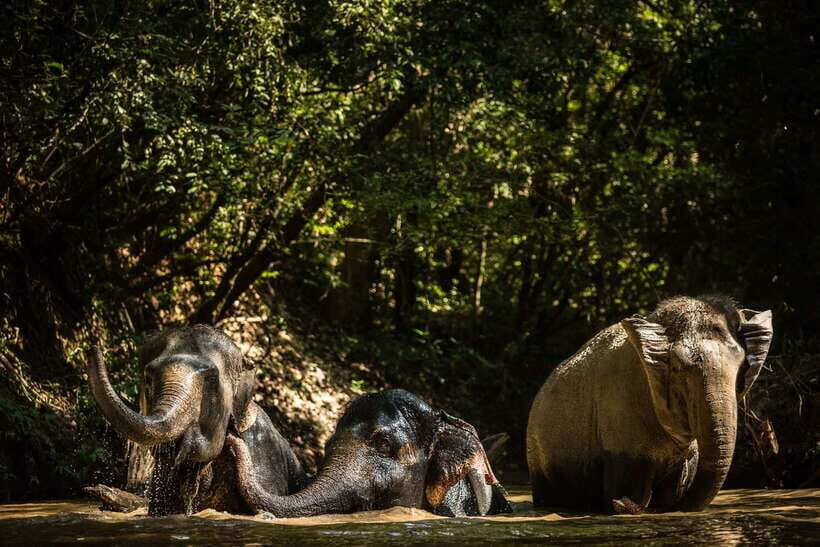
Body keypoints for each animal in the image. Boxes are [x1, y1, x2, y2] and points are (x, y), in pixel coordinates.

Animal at [526, 295, 773, 514]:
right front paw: (625, 504)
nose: (620, 503)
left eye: (741, 367)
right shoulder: (619, 408)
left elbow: (672, 493)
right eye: (678, 368)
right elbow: (631, 487)